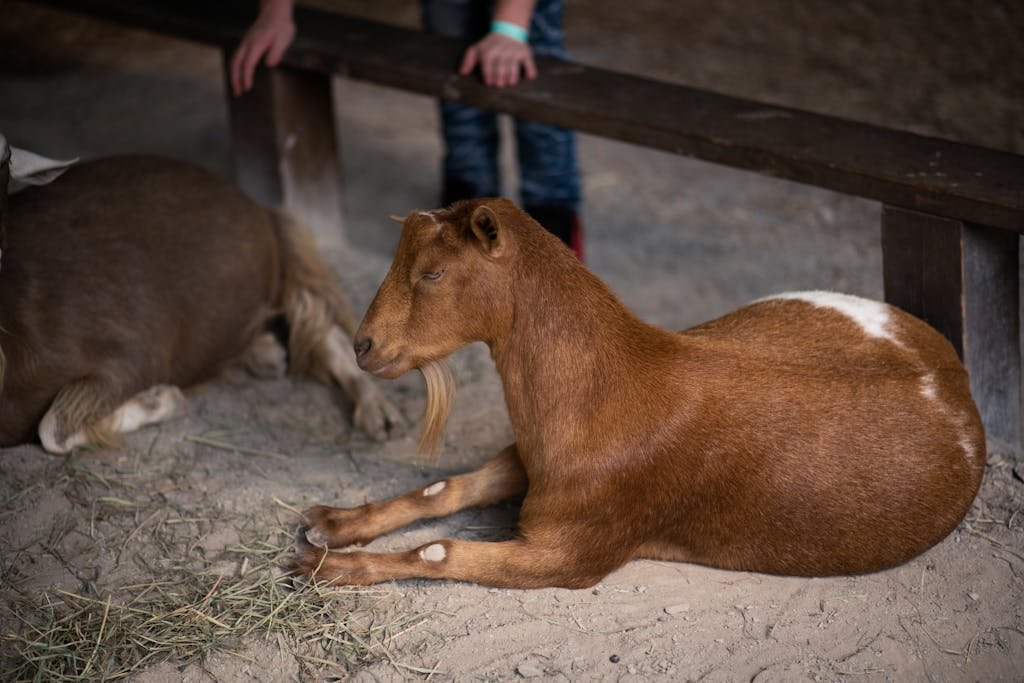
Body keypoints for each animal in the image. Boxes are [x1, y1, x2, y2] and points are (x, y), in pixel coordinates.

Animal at [0, 139, 401, 453]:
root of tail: (254, 202)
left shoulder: (128, 351)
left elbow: (51, 429)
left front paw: (162, 399)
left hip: (286, 262)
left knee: (322, 324)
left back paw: (378, 414)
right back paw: (266, 355)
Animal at [294, 198, 985, 588]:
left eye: (434, 272)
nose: (363, 346)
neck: (606, 392)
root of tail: (954, 377)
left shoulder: (568, 554)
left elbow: (440, 550)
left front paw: (328, 567)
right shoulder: (531, 461)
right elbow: (444, 488)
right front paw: (331, 523)